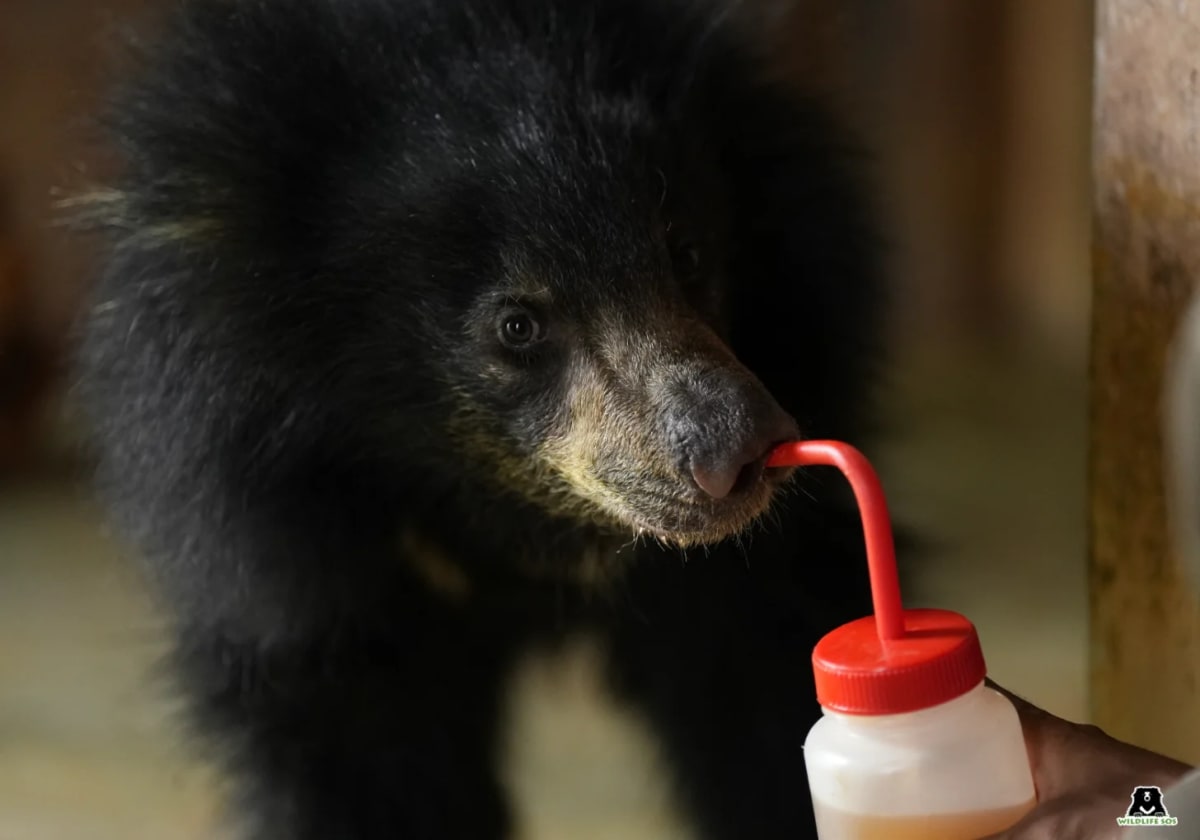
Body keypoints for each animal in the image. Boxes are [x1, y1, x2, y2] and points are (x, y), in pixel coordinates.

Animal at [73, 0, 886, 838]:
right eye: (516, 326)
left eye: (687, 254)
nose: (742, 449)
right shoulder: (300, 555)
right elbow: (358, 752)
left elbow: (758, 680)